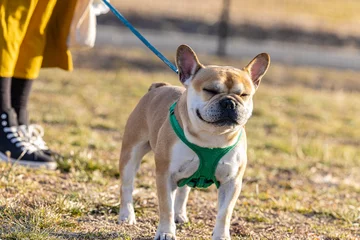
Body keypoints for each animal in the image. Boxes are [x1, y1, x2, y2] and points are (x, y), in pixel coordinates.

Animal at [118, 44, 270, 239]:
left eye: (244, 94)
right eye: (210, 91)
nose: (229, 102)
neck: (211, 137)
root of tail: (158, 87)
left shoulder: (232, 182)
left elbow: (225, 213)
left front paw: (221, 235)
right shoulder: (165, 175)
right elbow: (165, 207)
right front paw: (166, 232)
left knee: (183, 190)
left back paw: (180, 215)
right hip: (131, 153)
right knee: (127, 185)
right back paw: (126, 215)